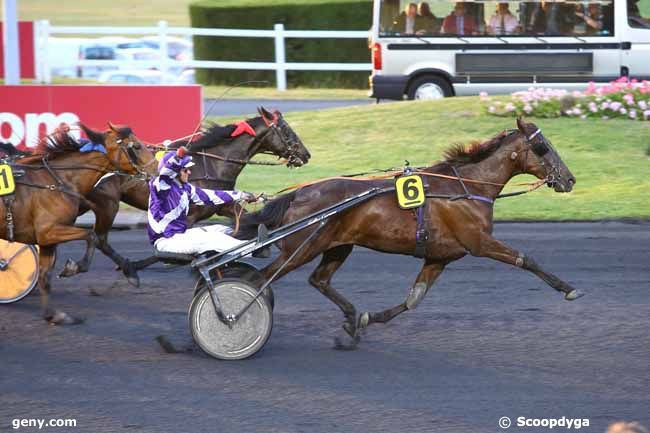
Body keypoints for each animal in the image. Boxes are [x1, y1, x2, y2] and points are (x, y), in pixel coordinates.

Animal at [0, 123, 157, 322]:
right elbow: (91, 236)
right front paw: (73, 267)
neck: (58, 181)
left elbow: (45, 276)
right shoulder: (49, 231)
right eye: (136, 146)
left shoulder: (46, 238)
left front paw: (53, 315)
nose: (157, 167)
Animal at [72, 106, 310, 286]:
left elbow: (247, 216)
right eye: (286, 130)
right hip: (108, 204)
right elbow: (165, 245)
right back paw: (123, 266)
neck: (212, 163)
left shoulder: (221, 203)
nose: (306, 155)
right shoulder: (189, 214)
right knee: (101, 239)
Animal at [239, 118, 584, 348]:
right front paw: (568, 288)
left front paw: (368, 319)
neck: (465, 189)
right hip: (301, 249)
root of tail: (298, 193)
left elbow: (413, 299)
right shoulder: (478, 242)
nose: (569, 179)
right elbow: (525, 259)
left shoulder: (440, 256)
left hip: (338, 245)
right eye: (542, 147)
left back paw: (351, 319)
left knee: (318, 280)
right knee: (260, 279)